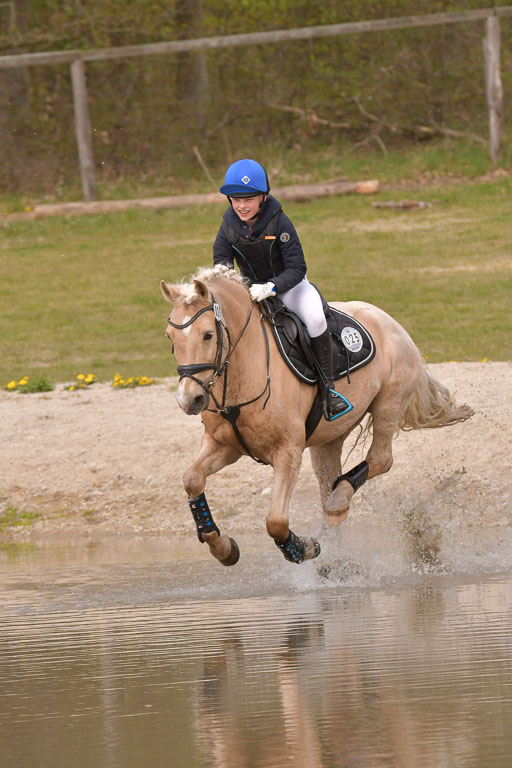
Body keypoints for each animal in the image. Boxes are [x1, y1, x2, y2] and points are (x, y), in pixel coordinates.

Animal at [160, 268, 472, 568]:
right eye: (170, 338)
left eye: (207, 335)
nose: (188, 400)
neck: (244, 371)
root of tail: (390, 321)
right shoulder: (224, 445)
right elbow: (192, 479)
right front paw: (223, 549)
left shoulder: (288, 452)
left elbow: (276, 522)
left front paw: (303, 548)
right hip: (328, 439)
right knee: (329, 483)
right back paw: (337, 547)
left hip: (388, 404)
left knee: (380, 460)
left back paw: (338, 502)